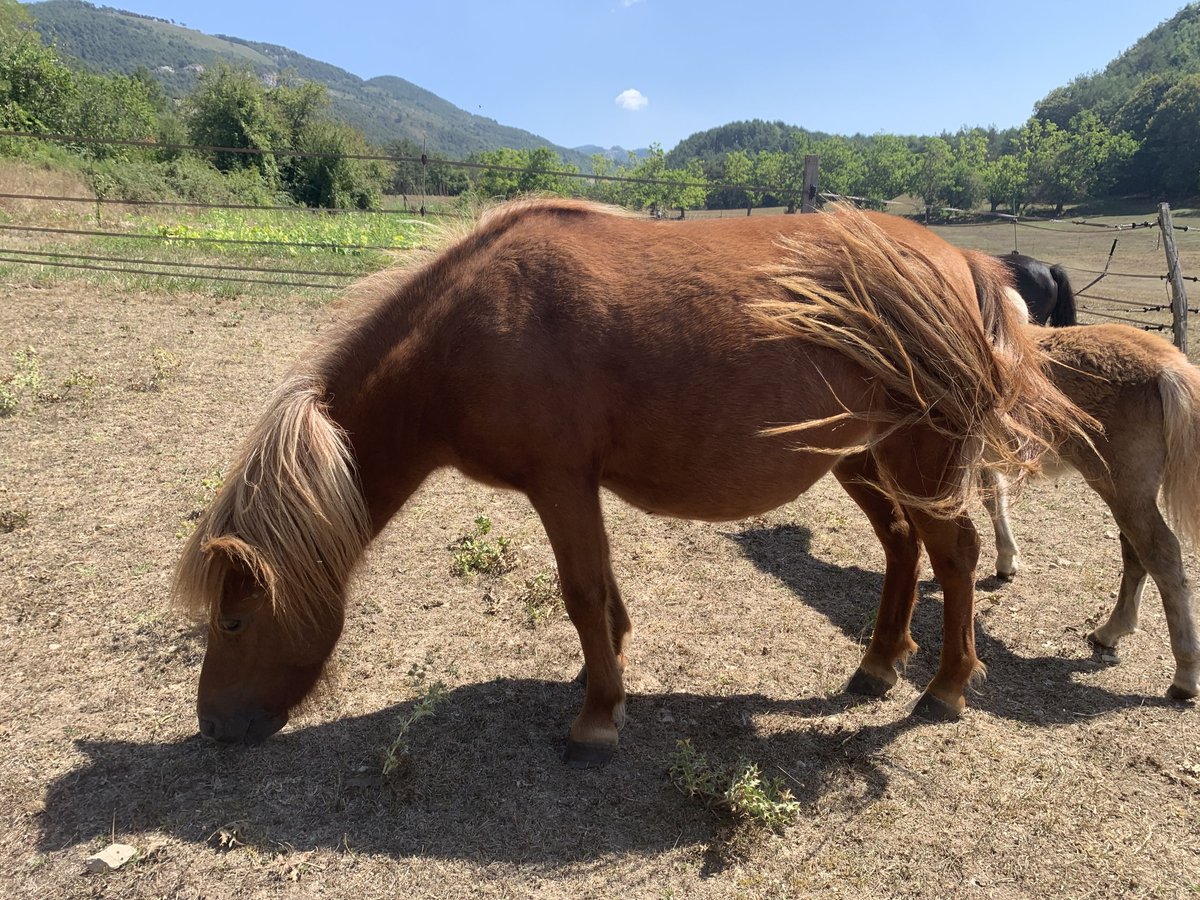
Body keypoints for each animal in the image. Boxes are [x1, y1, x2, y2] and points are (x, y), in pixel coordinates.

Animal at [175, 200, 1089, 763]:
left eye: (233, 621)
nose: (213, 727)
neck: (468, 331)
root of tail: (963, 259)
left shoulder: (559, 482)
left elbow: (581, 593)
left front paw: (595, 721)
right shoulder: (576, 486)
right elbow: (603, 593)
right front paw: (605, 673)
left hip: (920, 454)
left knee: (956, 553)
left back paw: (945, 687)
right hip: (860, 458)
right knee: (903, 546)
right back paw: (876, 664)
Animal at [979, 326, 1195, 705]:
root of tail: (1168, 366)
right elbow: (995, 497)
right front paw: (1006, 561)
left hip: (1123, 491)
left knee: (1160, 554)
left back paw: (1184, 675)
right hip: (1130, 495)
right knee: (1135, 552)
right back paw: (1110, 631)